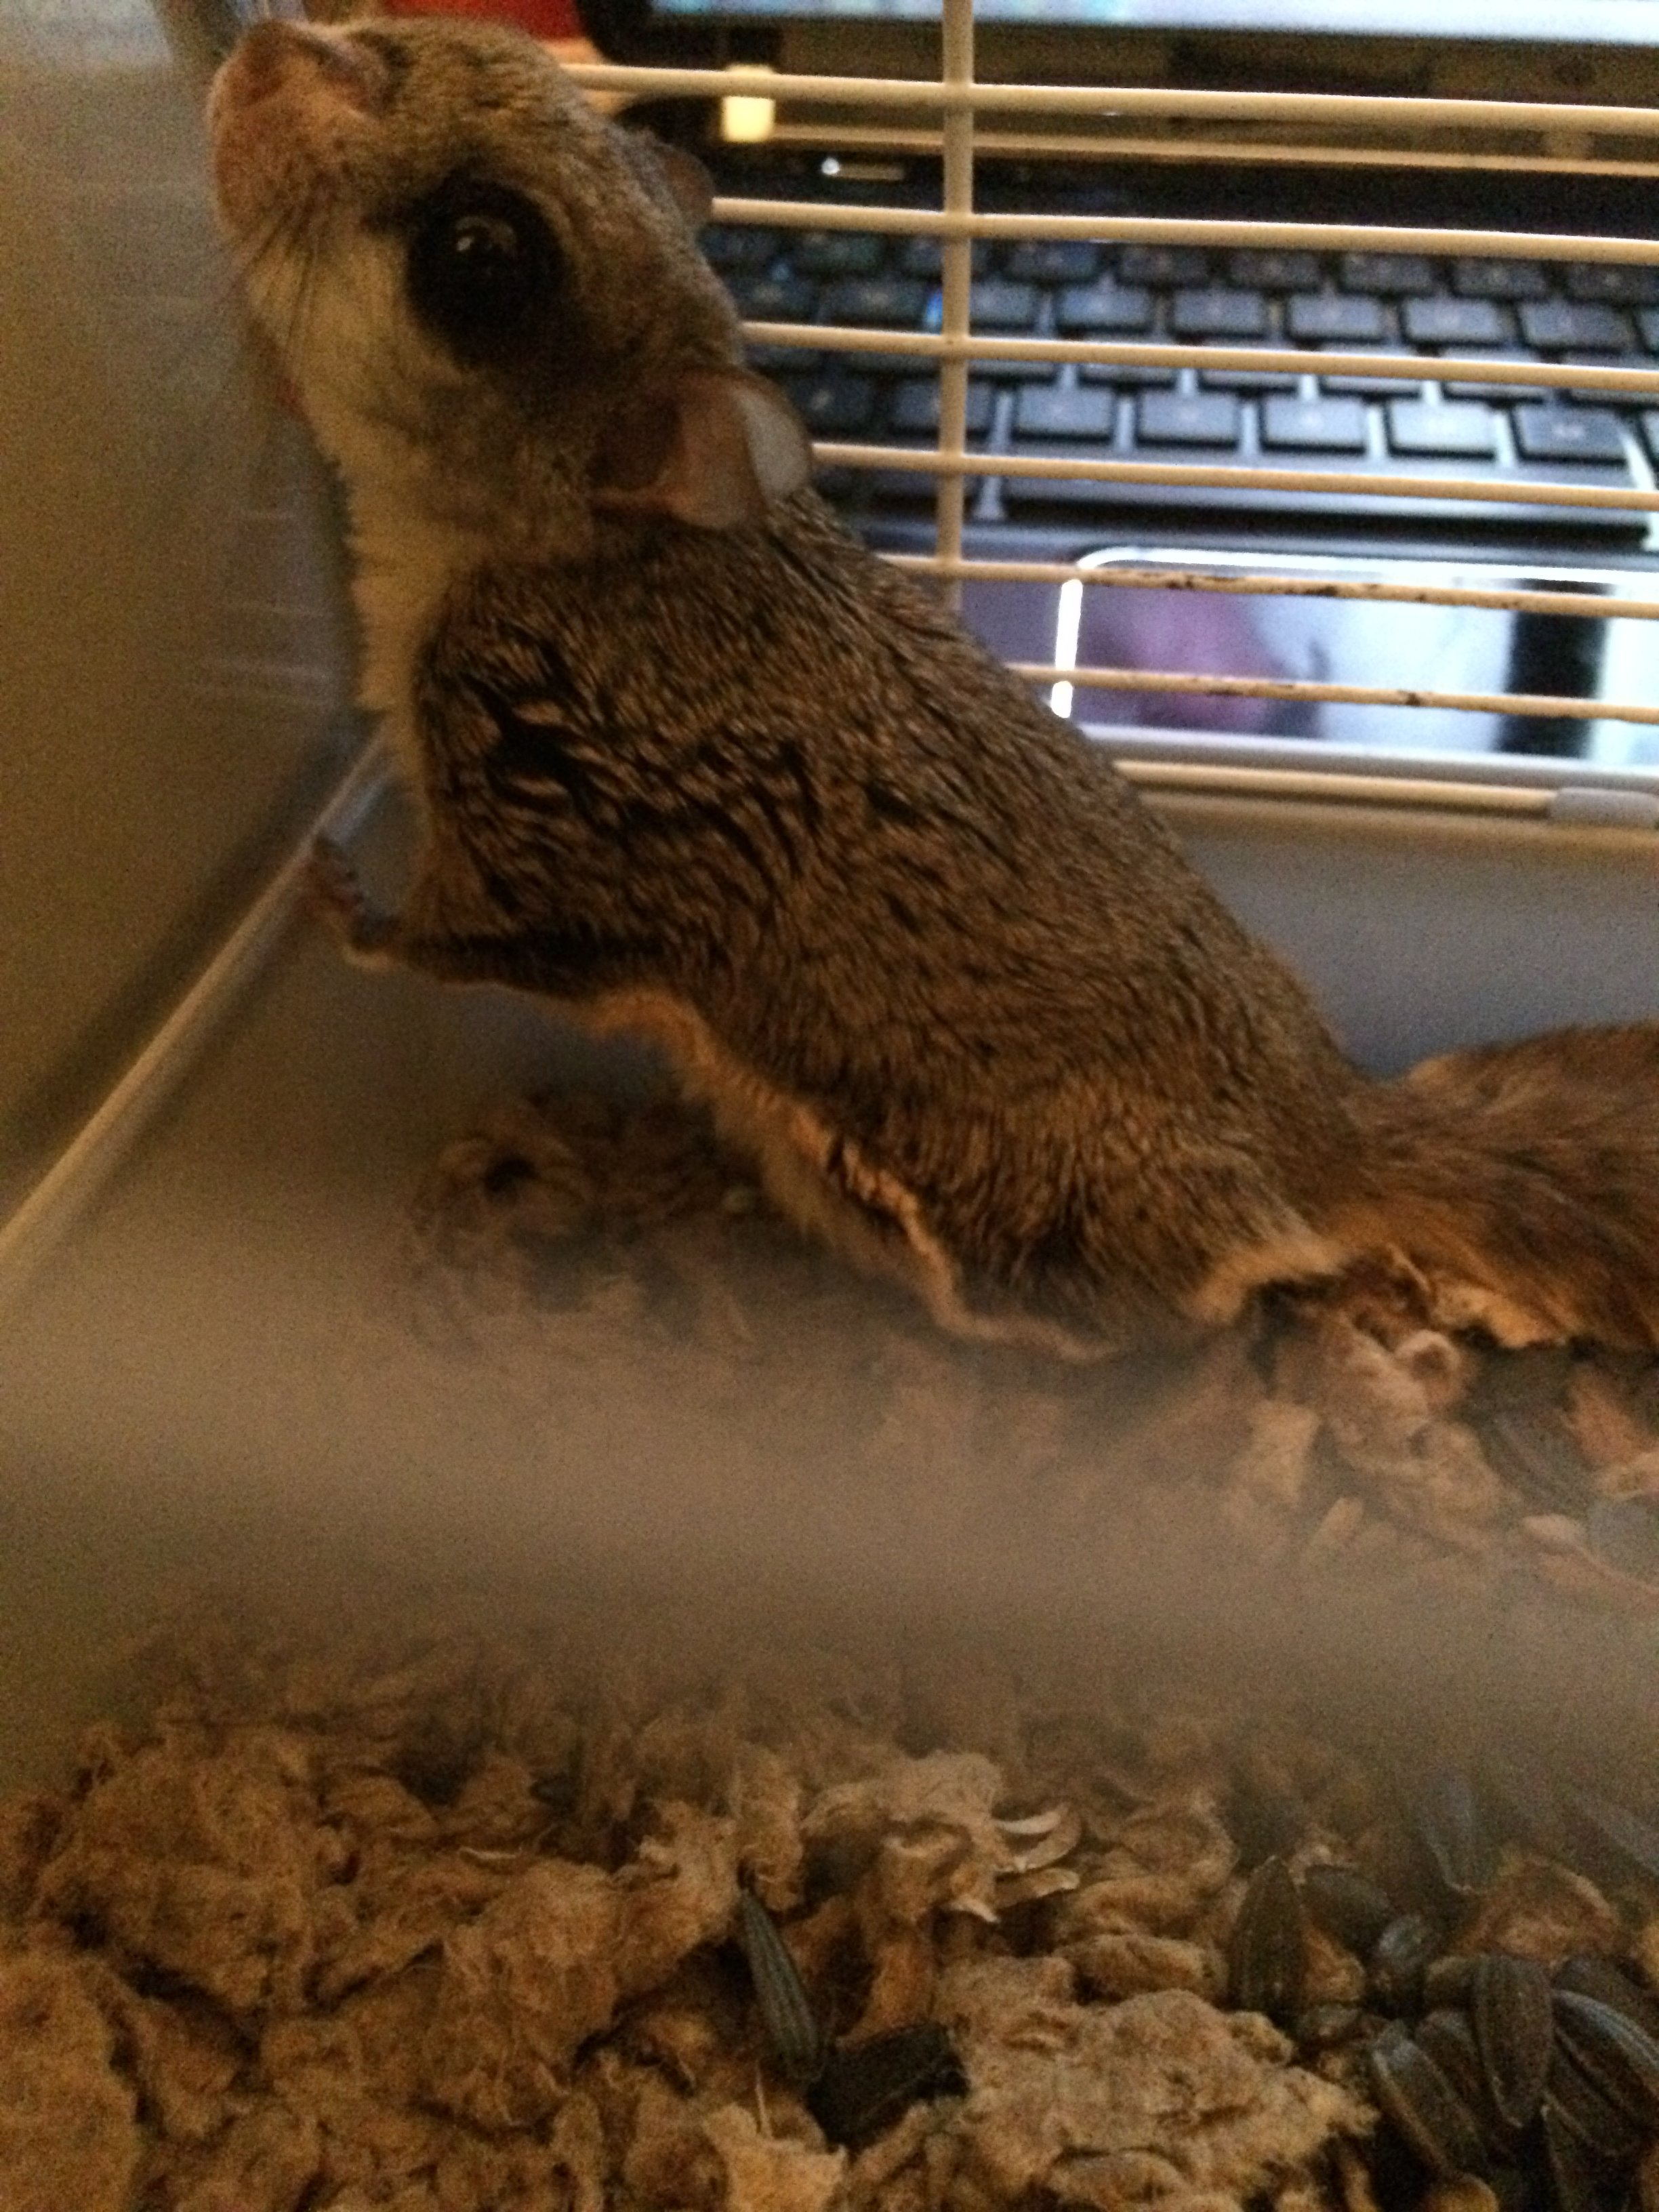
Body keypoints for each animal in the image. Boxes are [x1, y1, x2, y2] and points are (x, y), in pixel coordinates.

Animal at [208, 13, 1659, 1358]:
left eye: (479, 260)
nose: (265, 46)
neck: (573, 551)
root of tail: (1320, 1122)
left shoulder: (554, 815)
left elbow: (449, 941)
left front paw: (333, 898)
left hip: (1023, 1222)